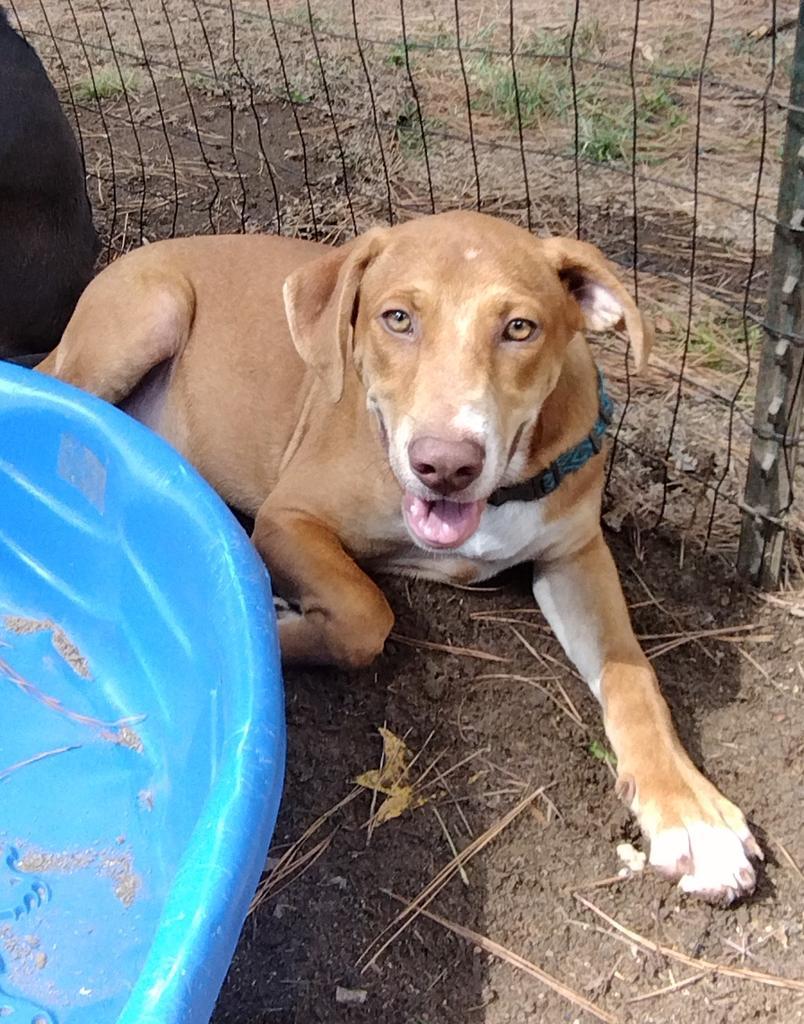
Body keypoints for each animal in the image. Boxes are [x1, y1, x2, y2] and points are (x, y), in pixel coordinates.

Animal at [37, 211, 762, 901]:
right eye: (398, 318)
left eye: (520, 328)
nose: (446, 465)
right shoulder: (289, 516)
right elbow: (365, 614)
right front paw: (268, 624)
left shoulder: (576, 555)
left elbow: (632, 676)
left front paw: (692, 815)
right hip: (147, 313)